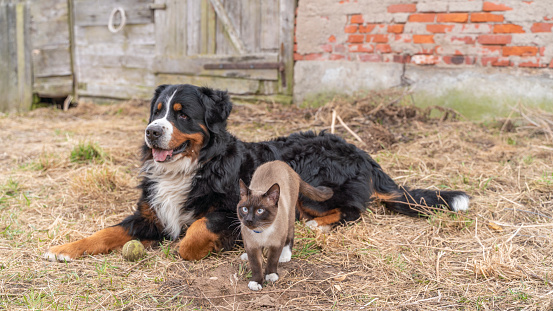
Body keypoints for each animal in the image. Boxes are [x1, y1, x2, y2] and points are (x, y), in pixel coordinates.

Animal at [44, 84, 470, 262]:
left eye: (181, 114)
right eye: (157, 110)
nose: (151, 132)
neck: (193, 166)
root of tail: (360, 150)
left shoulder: (233, 211)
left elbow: (192, 235)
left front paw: (196, 247)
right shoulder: (149, 214)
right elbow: (106, 232)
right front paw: (64, 249)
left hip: (312, 176)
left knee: (351, 210)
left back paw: (317, 225)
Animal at [236, 162, 332, 292]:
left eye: (260, 211)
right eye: (245, 209)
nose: (249, 220)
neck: (261, 232)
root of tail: (282, 163)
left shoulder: (277, 244)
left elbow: (272, 259)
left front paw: (271, 275)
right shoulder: (252, 246)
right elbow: (255, 265)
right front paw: (256, 282)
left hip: (290, 215)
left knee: (290, 235)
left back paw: (285, 255)